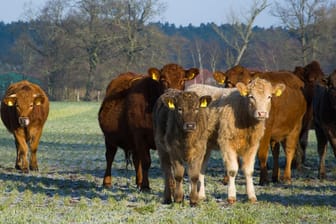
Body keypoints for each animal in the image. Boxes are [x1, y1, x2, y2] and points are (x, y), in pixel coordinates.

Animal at [97, 63, 198, 191]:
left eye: (183, 80)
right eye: (163, 80)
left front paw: (172, 187)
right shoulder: (141, 136)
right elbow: (146, 161)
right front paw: (146, 186)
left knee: (136, 159)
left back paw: (138, 181)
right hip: (110, 139)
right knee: (110, 157)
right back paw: (107, 182)